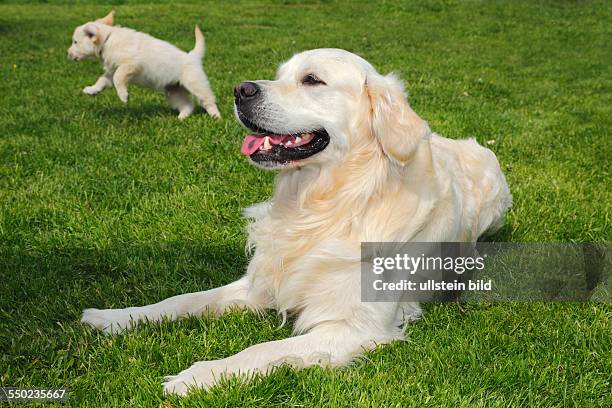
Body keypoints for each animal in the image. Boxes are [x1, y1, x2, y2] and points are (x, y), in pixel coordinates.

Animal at [68, 10, 221, 119]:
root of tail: (192, 56)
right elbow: (102, 80)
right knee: (187, 105)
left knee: (208, 100)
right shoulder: (111, 71)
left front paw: (123, 95)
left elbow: (118, 78)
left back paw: (216, 117)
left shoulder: (129, 65)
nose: (67, 53)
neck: (108, 39)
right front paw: (92, 90)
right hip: (173, 90)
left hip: (196, 84)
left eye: (75, 42)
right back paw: (181, 118)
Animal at [81, 48, 512, 396]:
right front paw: (115, 317)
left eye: (312, 80)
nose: (240, 90)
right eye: (280, 74)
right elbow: (184, 299)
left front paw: (197, 376)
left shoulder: (354, 327)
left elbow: (261, 350)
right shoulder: (261, 282)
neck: (325, 204)